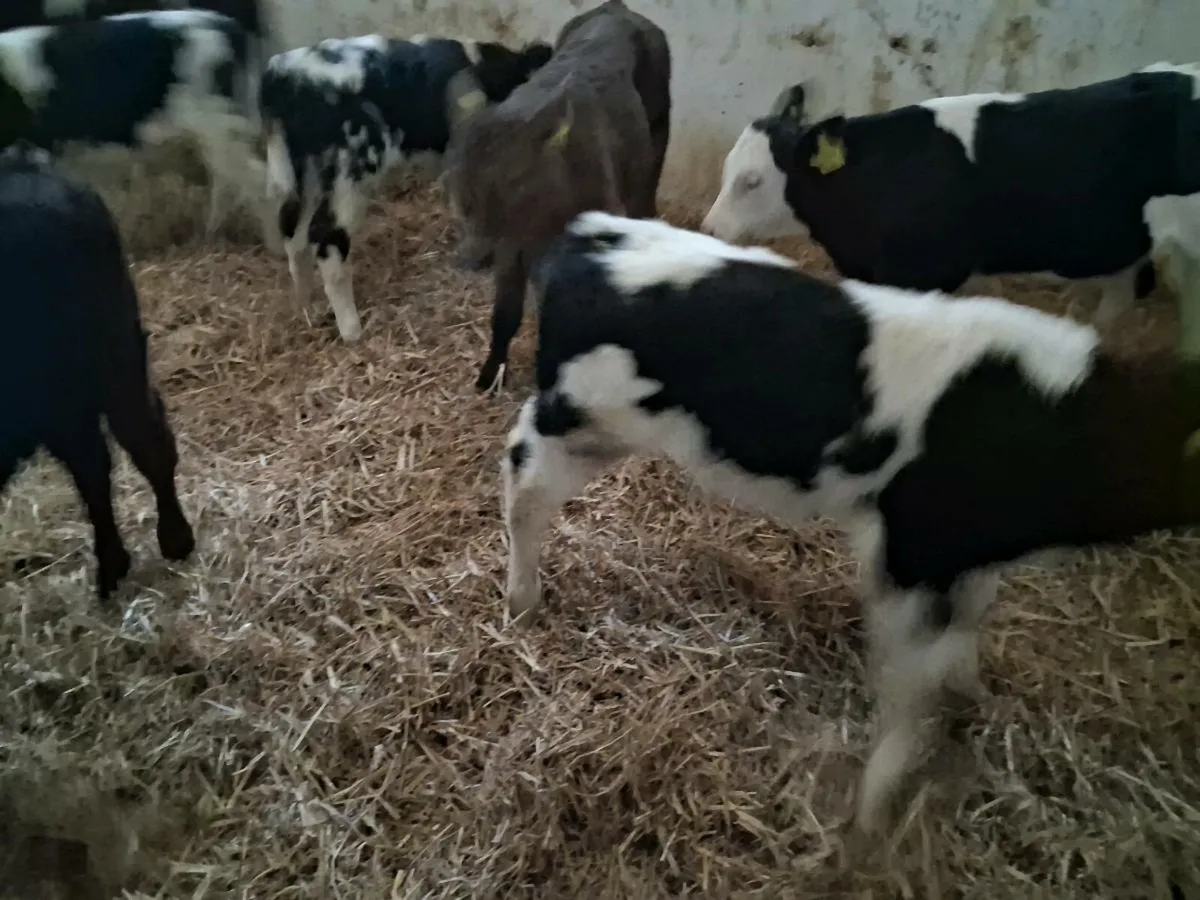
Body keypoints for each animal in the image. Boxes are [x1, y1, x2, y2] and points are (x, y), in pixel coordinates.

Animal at [0, 9, 274, 245]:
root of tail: (229, 28)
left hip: (220, 129)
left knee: (257, 181)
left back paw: (272, 249)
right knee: (225, 184)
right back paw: (206, 238)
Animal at [259, 33, 553, 343]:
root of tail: (279, 72)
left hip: (301, 171)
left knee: (292, 230)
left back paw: (309, 308)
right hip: (349, 169)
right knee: (325, 236)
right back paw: (352, 330)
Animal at [441, 0, 671, 392]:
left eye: (515, 182)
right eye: (462, 196)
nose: (473, 257)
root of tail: (617, 8)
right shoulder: (512, 251)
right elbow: (505, 313)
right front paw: (489, 375)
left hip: (658, 131)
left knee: (647, 194)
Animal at [499, 209, 1200, 835]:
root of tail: (587, 233)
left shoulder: (965, 556)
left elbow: (965, 631)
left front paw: (974, 697)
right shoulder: (912, 555)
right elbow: (909, 690)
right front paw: (872, 817)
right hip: (578, 419)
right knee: (522, 484)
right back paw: (522, 602)